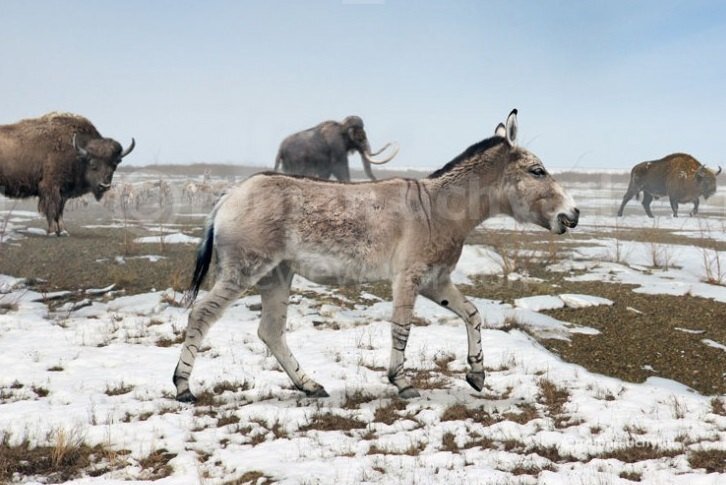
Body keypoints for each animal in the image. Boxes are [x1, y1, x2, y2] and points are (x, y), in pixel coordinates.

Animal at [0, 113, 135, 234]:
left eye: (114, 165)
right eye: (92, 163)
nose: (104, 186)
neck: (76, 152)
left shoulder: (63, 192)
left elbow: (60, 210)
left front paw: (63, 230)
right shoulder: (51, 188)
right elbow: (52, 209)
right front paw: (53, 231)